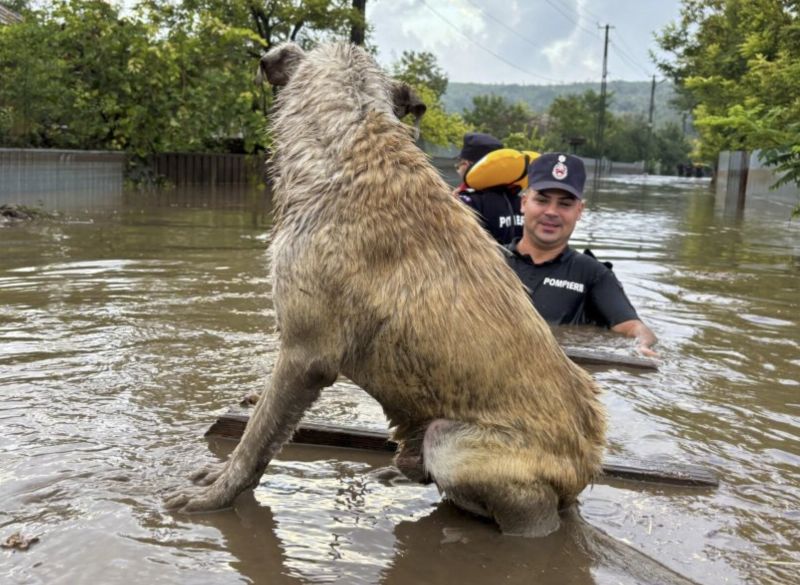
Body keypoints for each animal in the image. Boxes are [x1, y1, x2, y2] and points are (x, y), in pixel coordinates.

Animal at [169, 40, 608, 532]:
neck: (351, 143)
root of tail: (586, 467)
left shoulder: (304, 355)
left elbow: (256, 438)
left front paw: (216, 496)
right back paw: (394, 475)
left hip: (453, 443)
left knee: (530, 512)